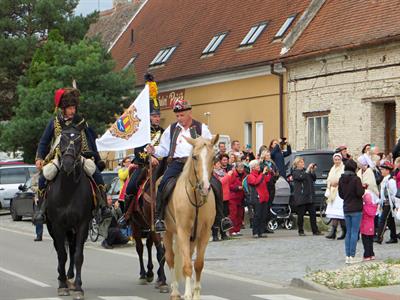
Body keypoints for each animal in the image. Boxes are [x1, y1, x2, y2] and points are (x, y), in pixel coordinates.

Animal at [46, 125, 94, 298]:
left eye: (79, 140)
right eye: (62, 140)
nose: (67, 164)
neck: (68, 191)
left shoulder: (83, 224)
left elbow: (78, 255)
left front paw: (78, 287)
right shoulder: (57, 225)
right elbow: (61, 254)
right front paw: (62, 285)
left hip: (72, 229)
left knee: (72, 250)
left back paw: (70, 278)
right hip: (54, 228)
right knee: (60, 250)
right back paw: (63, 278)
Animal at [130, 159, 169, 292]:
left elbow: (163, 252)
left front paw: (159, 278)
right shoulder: (154, 227)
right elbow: (160, 253)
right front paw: (163, 281)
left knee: (148, 245)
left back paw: (151, 273)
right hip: (135, 225)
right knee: (140, 248)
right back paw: (143, 275)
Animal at [162, 135, 219, 298]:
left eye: (214, 157)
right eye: (194, 157)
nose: (205, 187)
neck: (196, 198)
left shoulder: (204, 233)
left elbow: (198, 264)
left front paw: (196, 293)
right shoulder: (183, 231)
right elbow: (186, 265)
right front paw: (187, 294)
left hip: (192, 239)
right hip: (167, 232)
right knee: (170, 258)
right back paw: (175, 291)